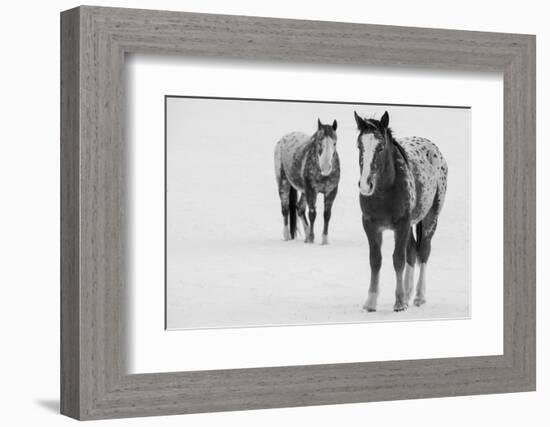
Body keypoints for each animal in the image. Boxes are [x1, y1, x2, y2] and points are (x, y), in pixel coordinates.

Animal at [274, 118, 340, 246]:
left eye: (334, 143)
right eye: (319, 142)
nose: (326, 168)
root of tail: (283, 139)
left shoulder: (331, 192)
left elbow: (327, 215)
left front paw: (324, 241)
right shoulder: (312, 191)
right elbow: (312, 214)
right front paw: (311, 239)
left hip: (304, 191)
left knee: (299, 209)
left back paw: (305, 236)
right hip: (284, 183)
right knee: (285, 209)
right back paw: (287, 236)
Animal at [356, 110, 450, 310]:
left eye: (381, 147)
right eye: (359, 146)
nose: (365, 185)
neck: (385, 190)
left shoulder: (402, 224)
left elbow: (398, 259)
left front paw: (399, 302)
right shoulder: (370, 225)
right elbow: (375, 261)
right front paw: (371, 302)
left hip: (430, 218)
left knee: (423, 251)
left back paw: (419, 297)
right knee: (412, 251)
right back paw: (408, 294)